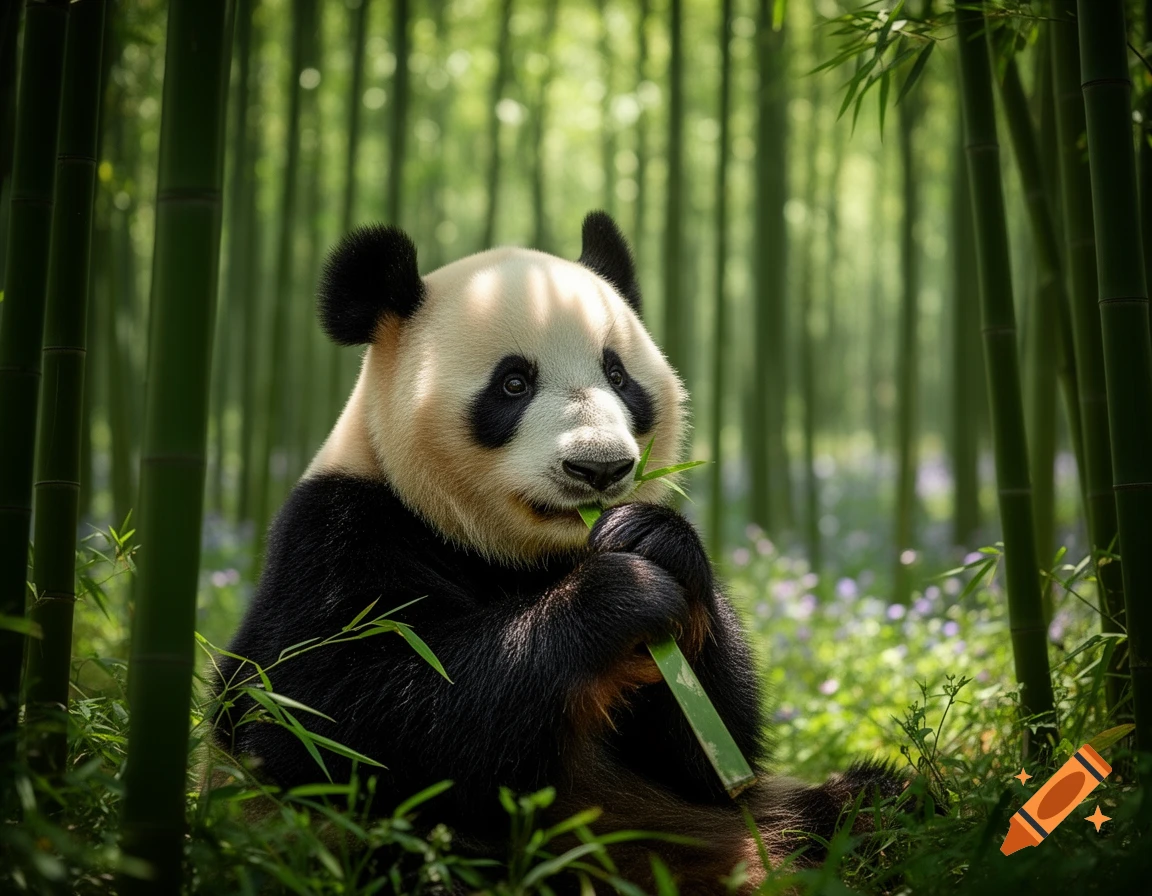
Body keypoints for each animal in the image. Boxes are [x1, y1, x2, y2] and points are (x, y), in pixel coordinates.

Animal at [212, 211, 904, 891]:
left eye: (618, 376)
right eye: (514, 383)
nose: (600, 468)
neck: (519, 554)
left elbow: (703, 752)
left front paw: (654, 543)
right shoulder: (339, 536)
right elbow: (325, 716)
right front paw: (618, 596)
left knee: (858, 803)